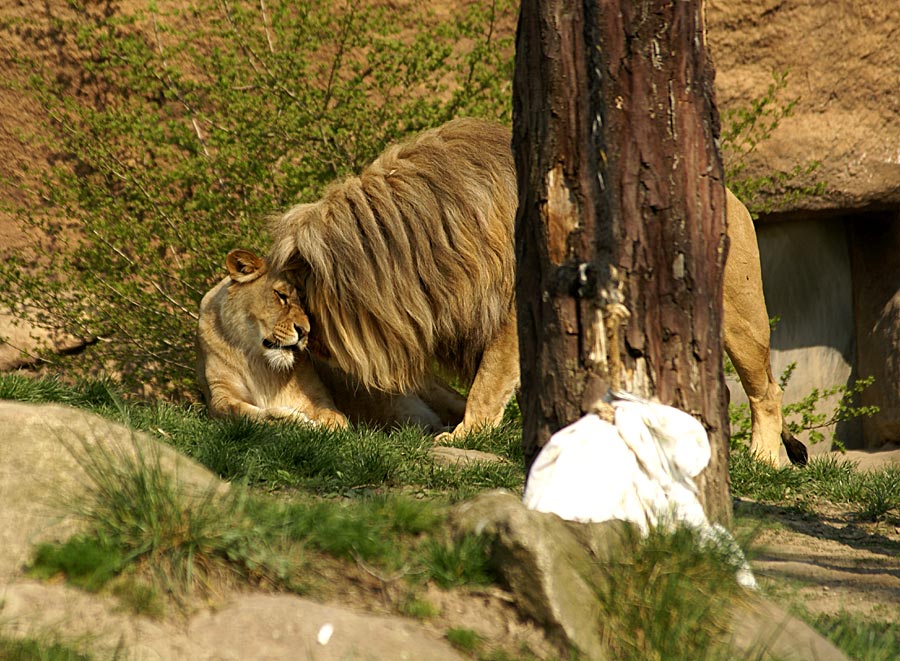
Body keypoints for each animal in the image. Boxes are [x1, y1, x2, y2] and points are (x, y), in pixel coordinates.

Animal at [196, 248, 442, 428]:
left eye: (307, 305)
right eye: (281, 296)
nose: (304, 332)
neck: (262, 363)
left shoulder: (318, 397)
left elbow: (333, 416)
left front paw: (327, 426)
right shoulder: (220, 396)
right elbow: (243, 411)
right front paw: (292, 419)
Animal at [266, 116, 800, 462]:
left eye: (292, 296)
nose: (303, 338)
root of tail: (730, 196)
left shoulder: (511, 309)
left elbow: (487, 383)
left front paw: (463, 437)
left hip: (741, 318)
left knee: (765, 391)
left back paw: (763, 457)